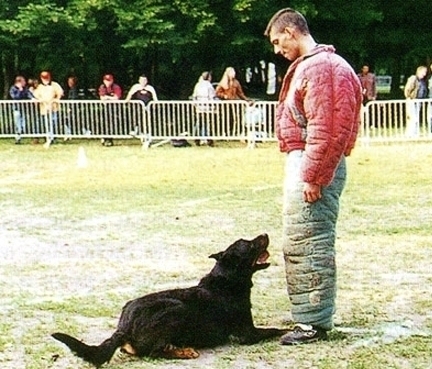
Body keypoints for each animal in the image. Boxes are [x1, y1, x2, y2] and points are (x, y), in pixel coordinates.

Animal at [51, 233, 286, 366]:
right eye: (250, 244)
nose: (265, 233)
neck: (227, 279)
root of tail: (123, 327)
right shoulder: (247, 334)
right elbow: (276, 330)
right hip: (177, 309)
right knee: (154, 352)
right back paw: (184, 351)